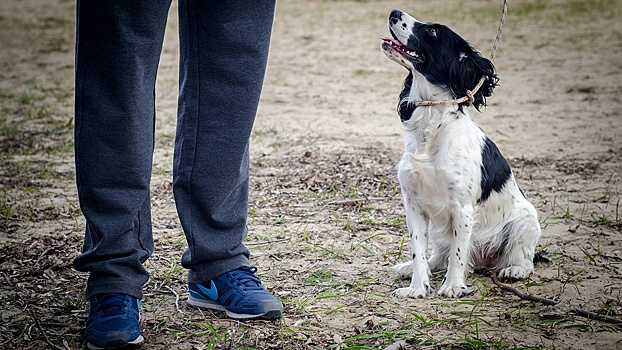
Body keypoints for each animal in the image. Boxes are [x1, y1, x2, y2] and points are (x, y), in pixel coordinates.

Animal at [380, 8, 540, 298]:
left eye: (433, 31)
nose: (394, 12)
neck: (432, 125)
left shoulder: (461, 207)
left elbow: (457, 252)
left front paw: (453, 285)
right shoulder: (413, 204)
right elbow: (419, 250)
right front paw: (417, 287)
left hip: (525, 220)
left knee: (524, 257)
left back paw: (515, 270)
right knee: (436, 255)